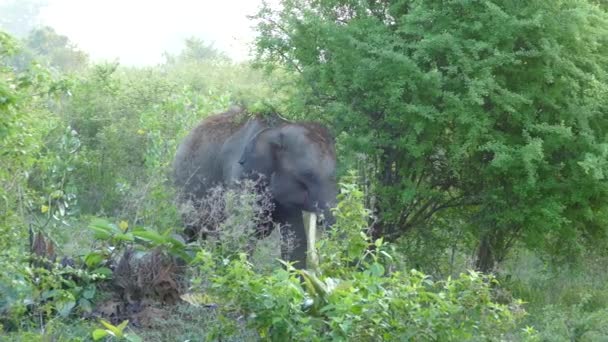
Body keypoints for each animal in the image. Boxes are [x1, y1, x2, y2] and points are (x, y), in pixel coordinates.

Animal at [172, 106, 338, 268]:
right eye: (307, 174)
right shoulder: (240, 176)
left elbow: (294, 241)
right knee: (189, 232)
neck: (279, 128)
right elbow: (242, 234)